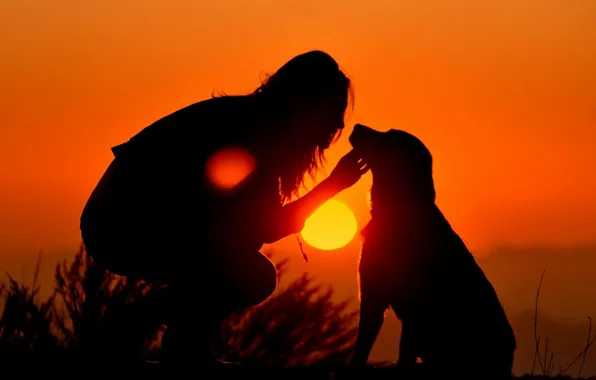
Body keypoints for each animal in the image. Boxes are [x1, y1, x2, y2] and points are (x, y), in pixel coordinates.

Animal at [346, 124, 516, 378]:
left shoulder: (413, 305)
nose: (356, 125)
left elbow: (403, 347)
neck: (398, 209)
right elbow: (363, 343)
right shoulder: (372, 294)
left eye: (388, 137)